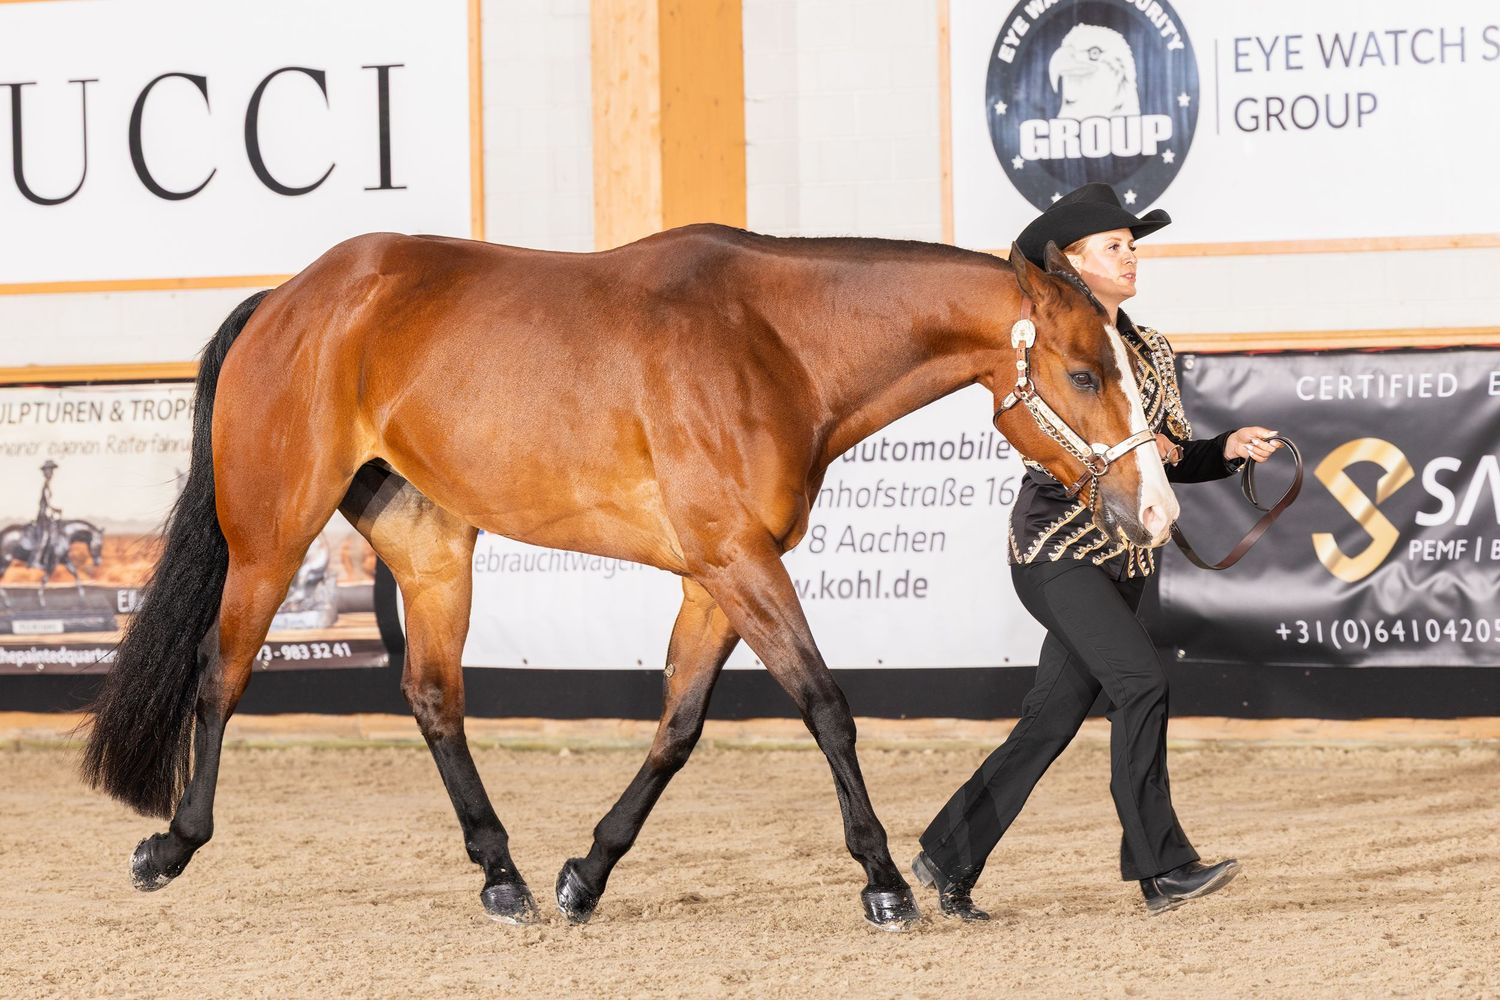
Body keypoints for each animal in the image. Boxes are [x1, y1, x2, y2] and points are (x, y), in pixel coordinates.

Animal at [81, 224, 1178, 929]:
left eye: (1129, 368)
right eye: (1085, 373)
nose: (1159, 512)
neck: (772, 343)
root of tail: (290, 298)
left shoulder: (715, 574)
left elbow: (679, 726)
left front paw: (586, 874)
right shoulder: (737, 560)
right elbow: (826, 705)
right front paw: (885, 882)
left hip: (431, 550)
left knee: (433, 697)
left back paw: (505, 877)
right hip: (270, 536)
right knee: (222, 676)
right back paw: (167, 847)